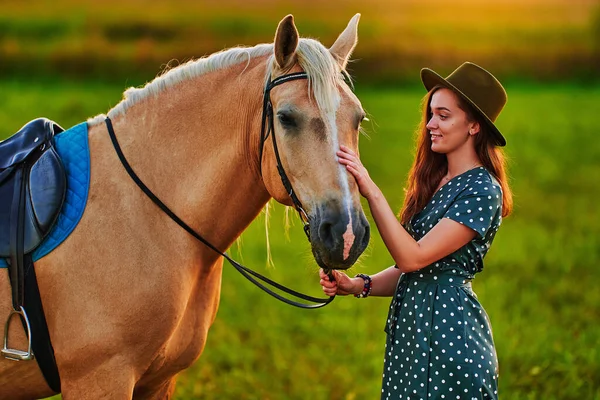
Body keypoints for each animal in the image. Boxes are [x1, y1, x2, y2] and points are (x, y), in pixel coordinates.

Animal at [0, 14, 368, 398]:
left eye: (358, 119)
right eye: (285, 117)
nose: (346, 234)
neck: (143, 215)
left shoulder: (159, 380)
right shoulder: (99, 379)